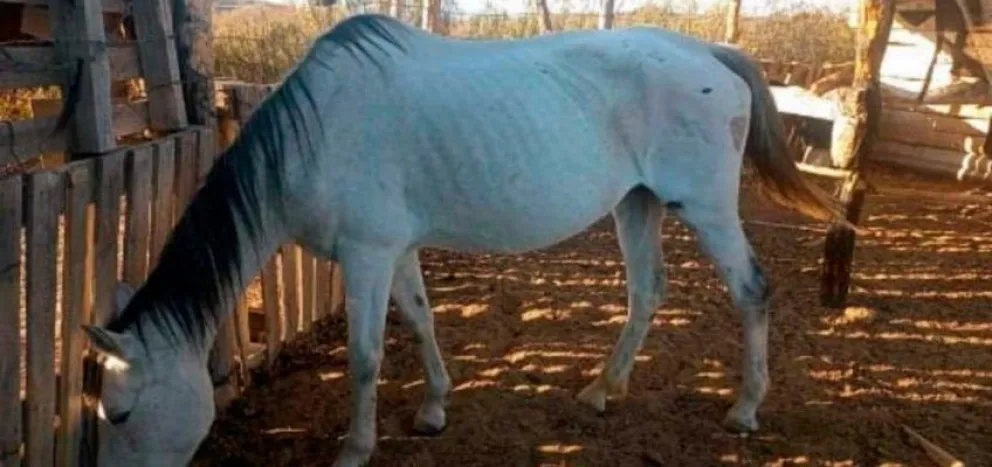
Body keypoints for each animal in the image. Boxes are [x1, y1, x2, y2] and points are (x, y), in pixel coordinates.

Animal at [81, 13, 843, 466]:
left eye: (120, 413)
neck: (316, 133)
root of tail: (708, 50)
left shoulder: (366, 255)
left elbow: (364, 356)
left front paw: (356, 446)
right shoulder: (395, 249)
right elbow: (420, 320)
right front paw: (433, 407)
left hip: (706, 207)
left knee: (752, 291)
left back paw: (744, 408)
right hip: (638, 204)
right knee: (648, 292)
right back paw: (603, 389)